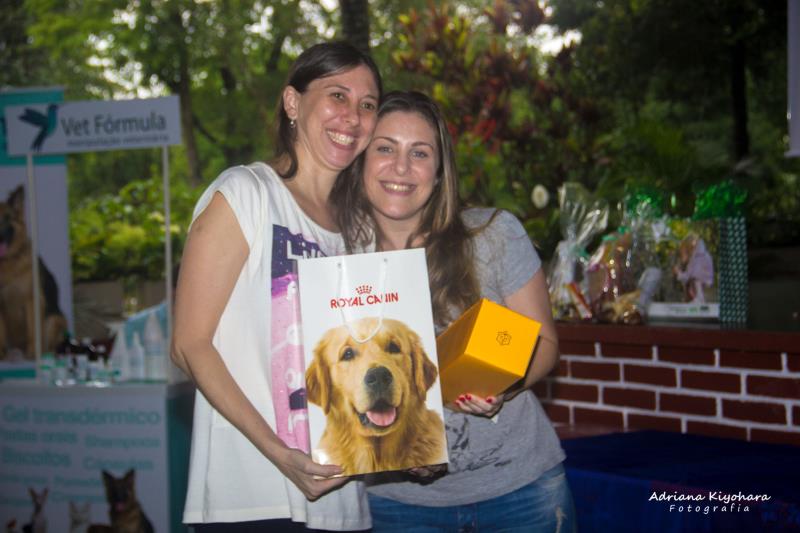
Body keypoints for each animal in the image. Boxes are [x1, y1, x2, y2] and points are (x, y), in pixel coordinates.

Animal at [0, 186, 68, 360]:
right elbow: (0, 332)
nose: (1, 235)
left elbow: (33, 329)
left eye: (7, 218)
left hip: (55, 319)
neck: (8, 262)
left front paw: (32, 353)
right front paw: (1, 354)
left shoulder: (31, 299)